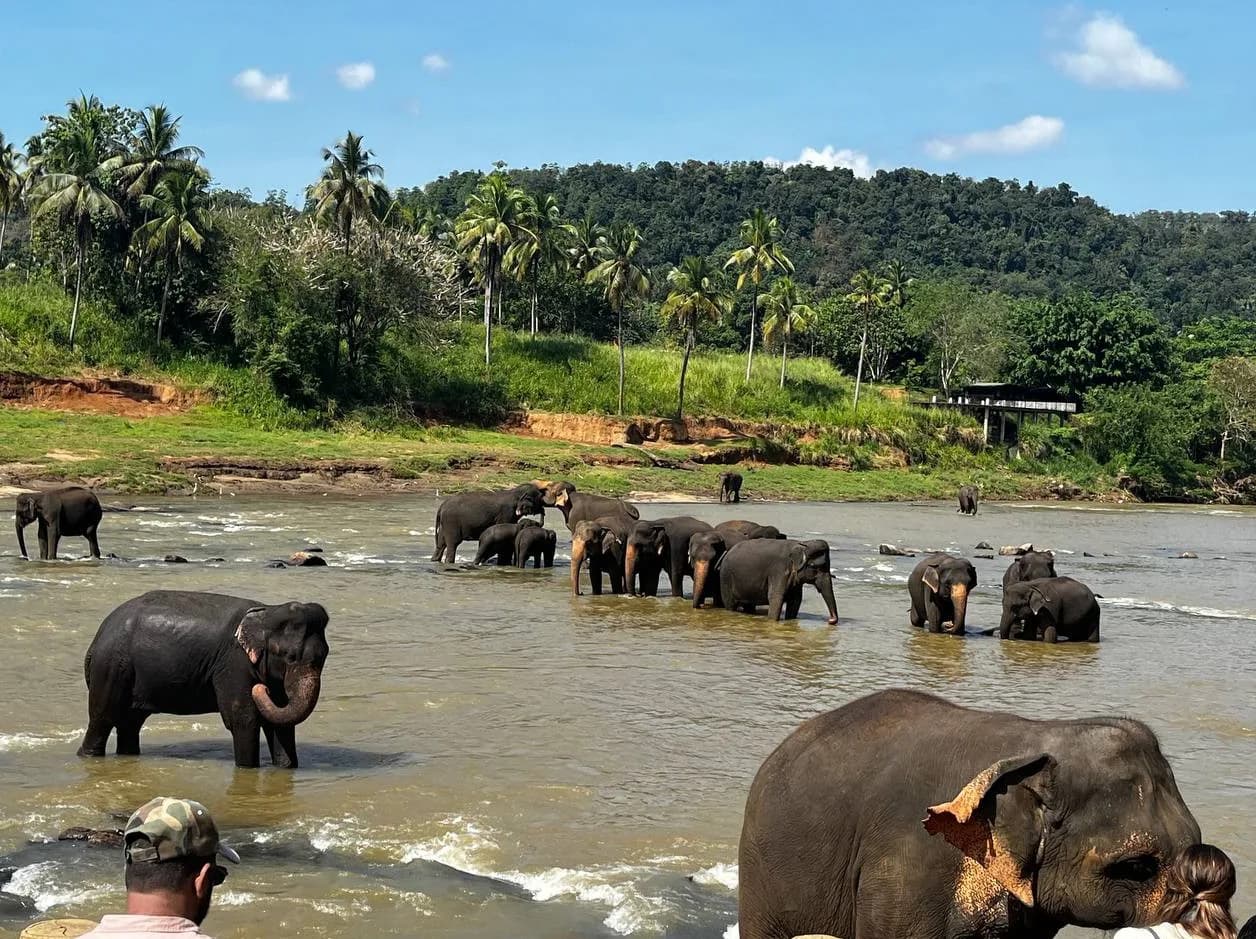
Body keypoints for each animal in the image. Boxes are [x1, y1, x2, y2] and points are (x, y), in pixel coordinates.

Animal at [79, 590, 330, 769]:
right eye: (290, 657)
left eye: (325, 655)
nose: (261, 689)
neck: (268, 612)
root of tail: (96, 638)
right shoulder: (234, 665)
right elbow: (243, 719)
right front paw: (247, 769)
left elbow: (281, 722)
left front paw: (286, 767)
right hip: (111, 668)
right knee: (102, 719)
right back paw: (88, 756)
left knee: (130, 723)